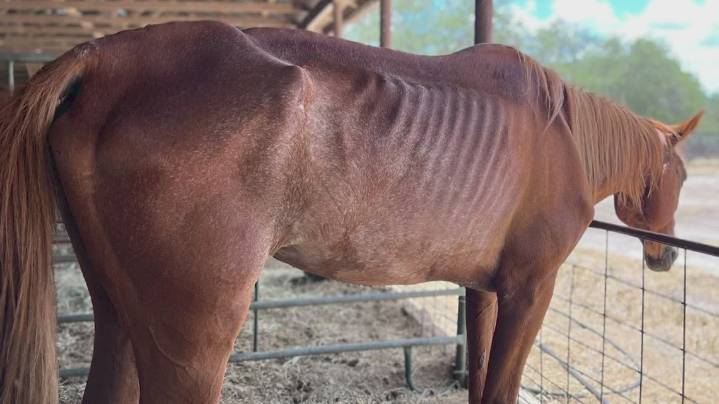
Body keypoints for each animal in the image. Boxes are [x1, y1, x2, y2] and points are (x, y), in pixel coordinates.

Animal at [0, 21, 702, 404]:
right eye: (682, 174)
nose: (666, 256)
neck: (565, 138)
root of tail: (104, 59)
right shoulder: (531, 289)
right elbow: (501, 386)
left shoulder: (486, 288)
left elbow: (480, 379)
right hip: (191, 341)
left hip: (120, 317)